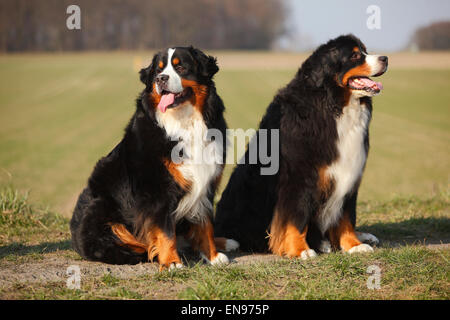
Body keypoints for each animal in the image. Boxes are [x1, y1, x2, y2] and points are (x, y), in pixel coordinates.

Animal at [69, 45, 239, 270]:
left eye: (180, 67)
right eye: (158, 70)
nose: (161, 79)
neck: (184, 122)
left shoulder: (206, 182)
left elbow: (205, 224)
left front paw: (212, 256)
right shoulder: (156, 190)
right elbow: (165, 231)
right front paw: (171, 262)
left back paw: (225, 242)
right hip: (100, 207)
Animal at [214, 35, 386, 258]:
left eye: (365, 51)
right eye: (355, 55)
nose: (385, 58)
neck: (334, 106)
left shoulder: (350, 172)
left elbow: (346, 216)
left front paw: (354, 244)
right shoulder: (299, 176)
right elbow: (296, 215)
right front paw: (300, 249)